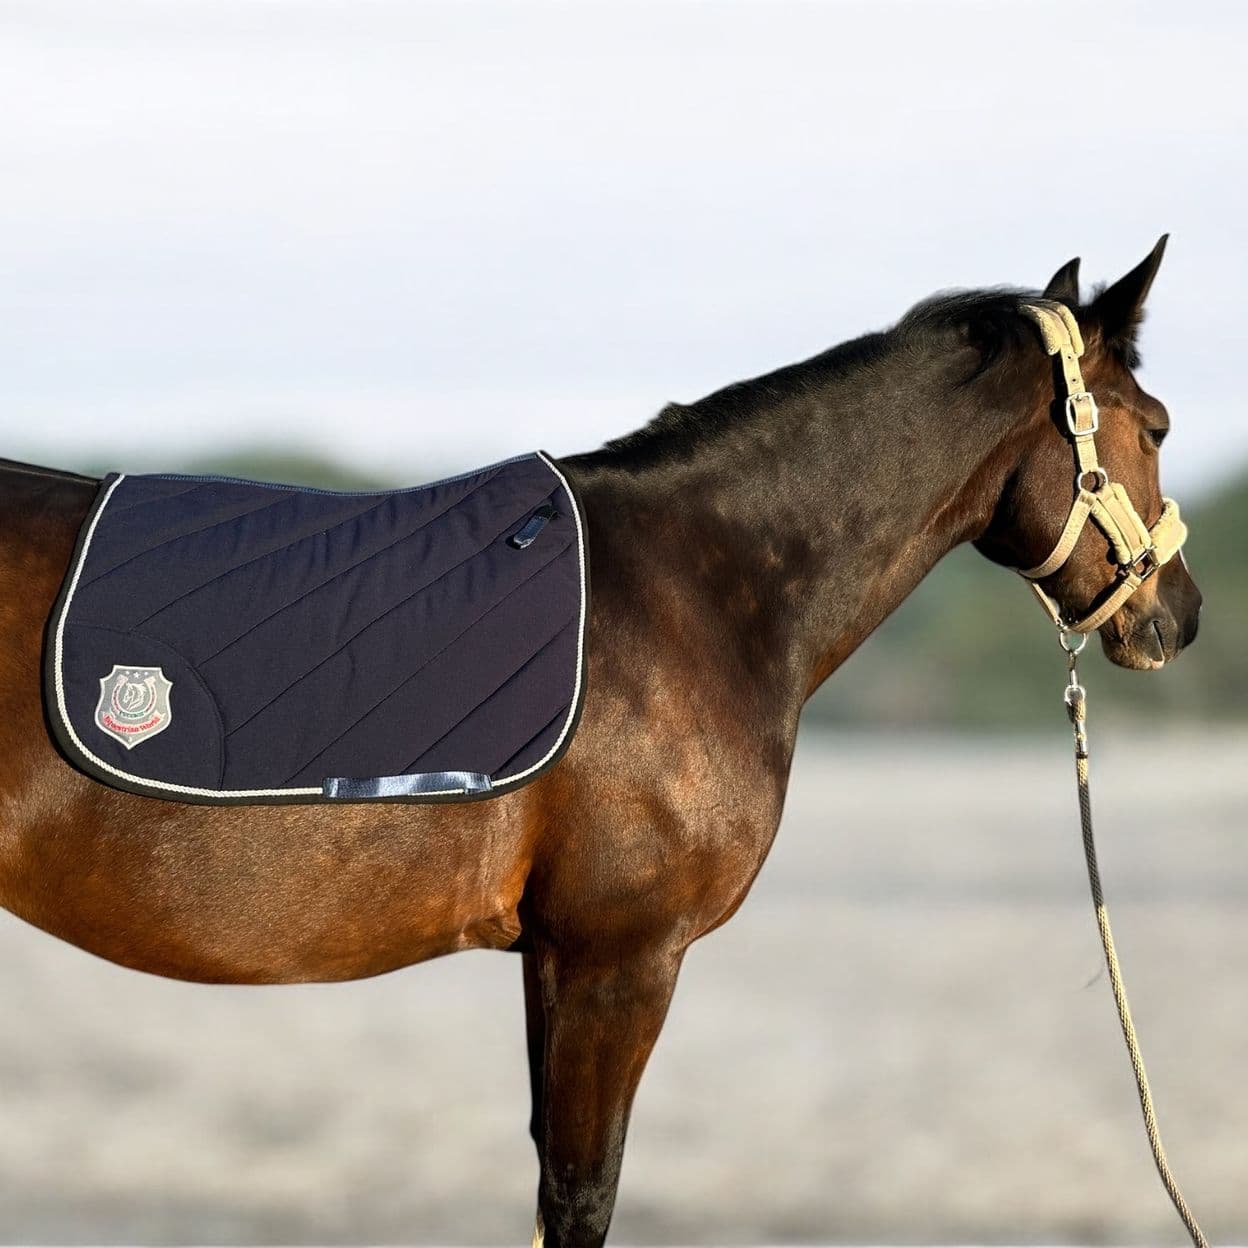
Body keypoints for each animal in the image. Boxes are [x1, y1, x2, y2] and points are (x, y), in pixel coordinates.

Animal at [0, 239, 1201, 1248]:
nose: (1178, 617)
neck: (697, 588)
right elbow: (582, 1194)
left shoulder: (557, 957)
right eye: (1155, 425)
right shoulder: (619, 956)